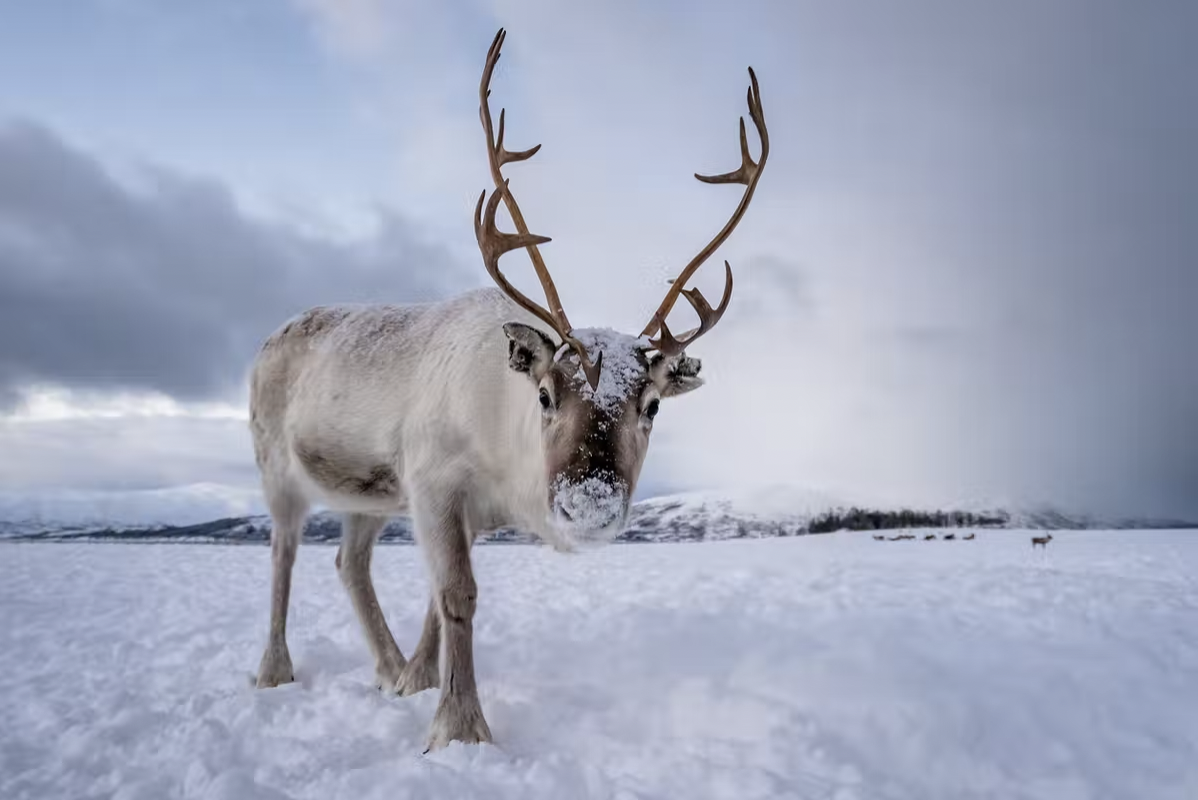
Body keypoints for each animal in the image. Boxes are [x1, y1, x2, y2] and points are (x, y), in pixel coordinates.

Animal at [247, 28, 769, 751]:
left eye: (653, 404)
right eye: (545, 394)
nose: (588, 504)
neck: (503, 456)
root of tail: (270, 338)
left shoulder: (459, 509)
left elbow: (438, 599)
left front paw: (417, 682)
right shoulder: (434, 481)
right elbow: (457, 595)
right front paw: (459, 728)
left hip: (368, 495)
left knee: (349, 563)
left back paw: (386, 667)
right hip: (277, 467)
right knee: (283, 554)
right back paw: (274, 671)